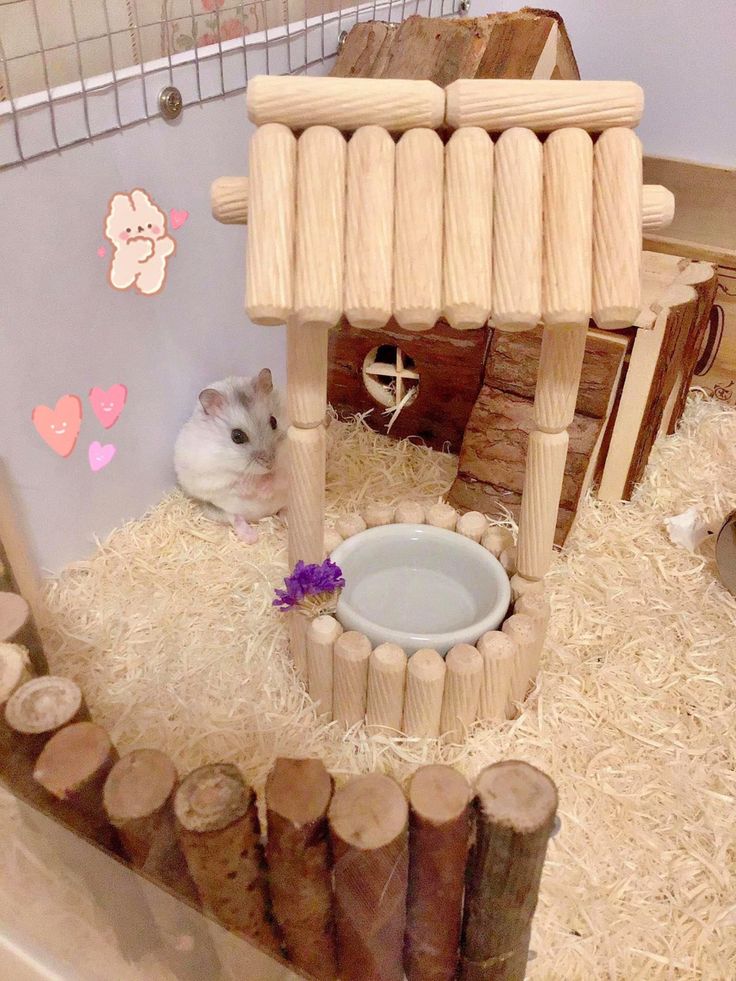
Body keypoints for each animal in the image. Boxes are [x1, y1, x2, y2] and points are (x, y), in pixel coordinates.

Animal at [175, 370, 288, 544]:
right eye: (237, 436)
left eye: (274, 421)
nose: (269, 463)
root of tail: (261, 515)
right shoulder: (207, 473)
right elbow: (233, 480)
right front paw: (251, 488)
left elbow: (278, 476)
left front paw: (263, 491)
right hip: (219, 510)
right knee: (235, 519)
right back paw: (251, 537)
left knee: (283, 509)